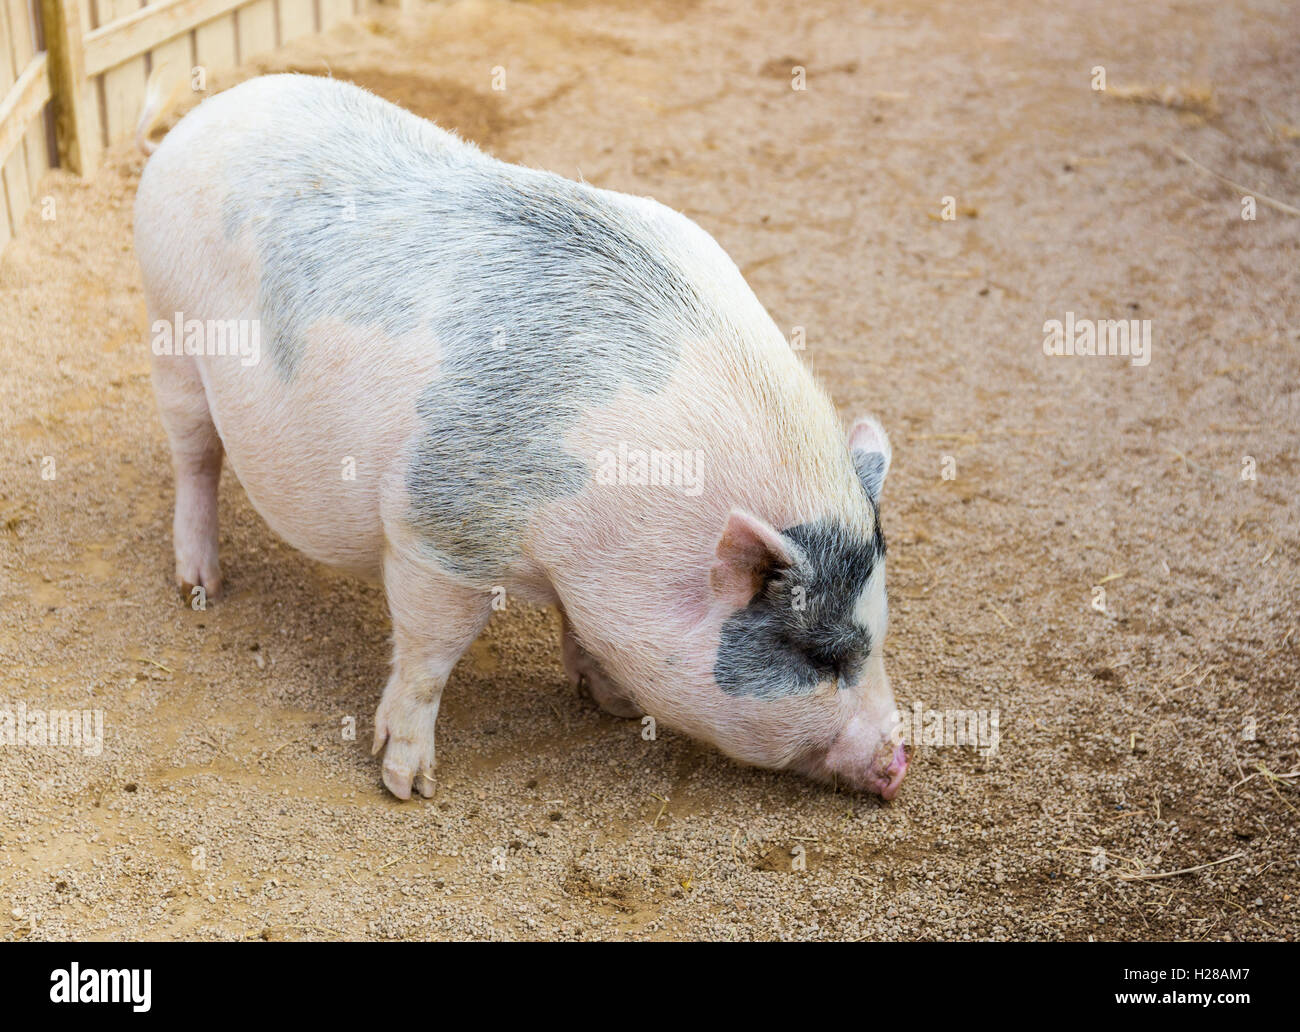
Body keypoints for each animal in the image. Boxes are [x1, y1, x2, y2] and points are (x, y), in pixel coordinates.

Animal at [133, 73, 908, 801]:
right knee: (196, 456)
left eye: (875, 635)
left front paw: (613, 703)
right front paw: (408, 785)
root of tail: (208, 113)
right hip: (170, 332)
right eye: (819, 655)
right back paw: (201, 587)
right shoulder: (438, 532)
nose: (899, 763)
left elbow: (576, 630)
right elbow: (430, 655)